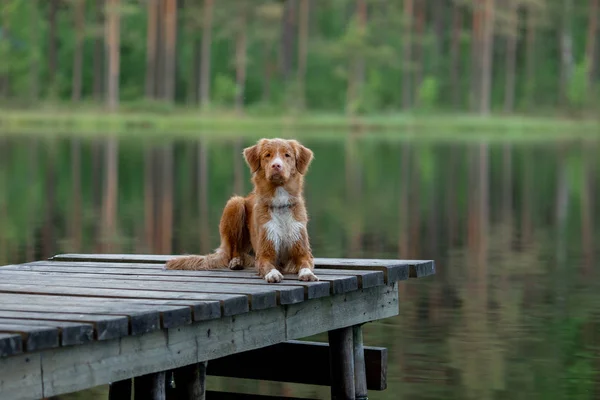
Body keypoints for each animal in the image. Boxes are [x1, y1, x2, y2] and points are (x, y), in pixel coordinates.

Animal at [162, 139, 316, 282]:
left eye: (287, 155)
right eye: (267, 155)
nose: (276, 165)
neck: (280, 203)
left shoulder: (302, 252)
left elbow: (305, 264)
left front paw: (308, 274)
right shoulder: (264, 254)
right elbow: (267, 266)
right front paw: (272, 274)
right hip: (235, 203)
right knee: (234, 250)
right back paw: (236, 261)